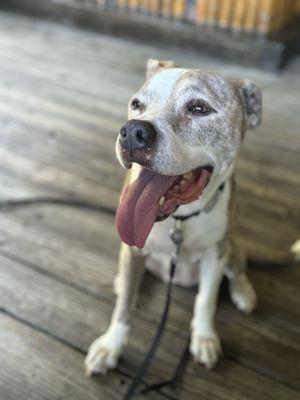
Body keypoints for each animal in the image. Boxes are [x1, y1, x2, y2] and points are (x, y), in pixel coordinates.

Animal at [85, 58, 262, 376]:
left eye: (199, 108)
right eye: (136, 104)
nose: (133, 132)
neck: (180, 219)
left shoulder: (215, 254)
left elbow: (206, 299)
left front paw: (204, 338)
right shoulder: (132, 249)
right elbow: (124, 308)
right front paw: (110, 346)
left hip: (232, 245)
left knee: (237, 269)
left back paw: (244, 292)